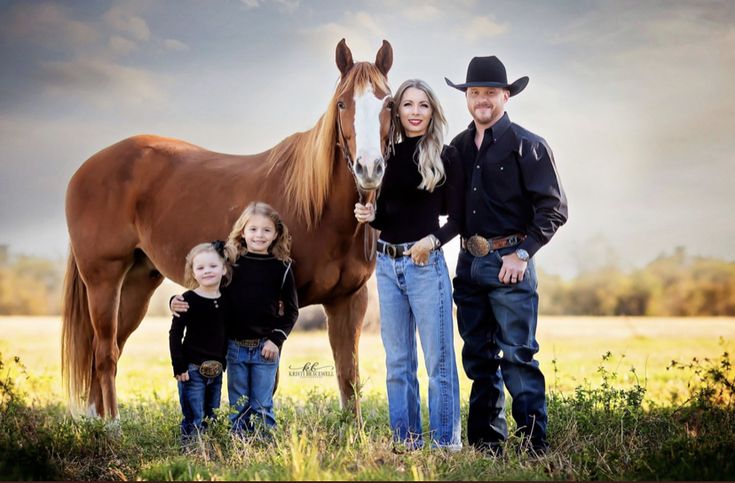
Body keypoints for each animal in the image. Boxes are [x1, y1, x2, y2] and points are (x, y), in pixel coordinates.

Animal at [62, 39, 394, 420]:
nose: (369, 168)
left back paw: (97, 418)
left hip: (137, 281)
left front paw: (354, 430)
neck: (318, 207)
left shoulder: (348, 300)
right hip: (103, 278)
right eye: (342, 103)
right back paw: (111, 425)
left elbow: (348, 375)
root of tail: (86, 168)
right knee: (105, 352)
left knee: (107, 346)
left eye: (388, 102)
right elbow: (267, 378)